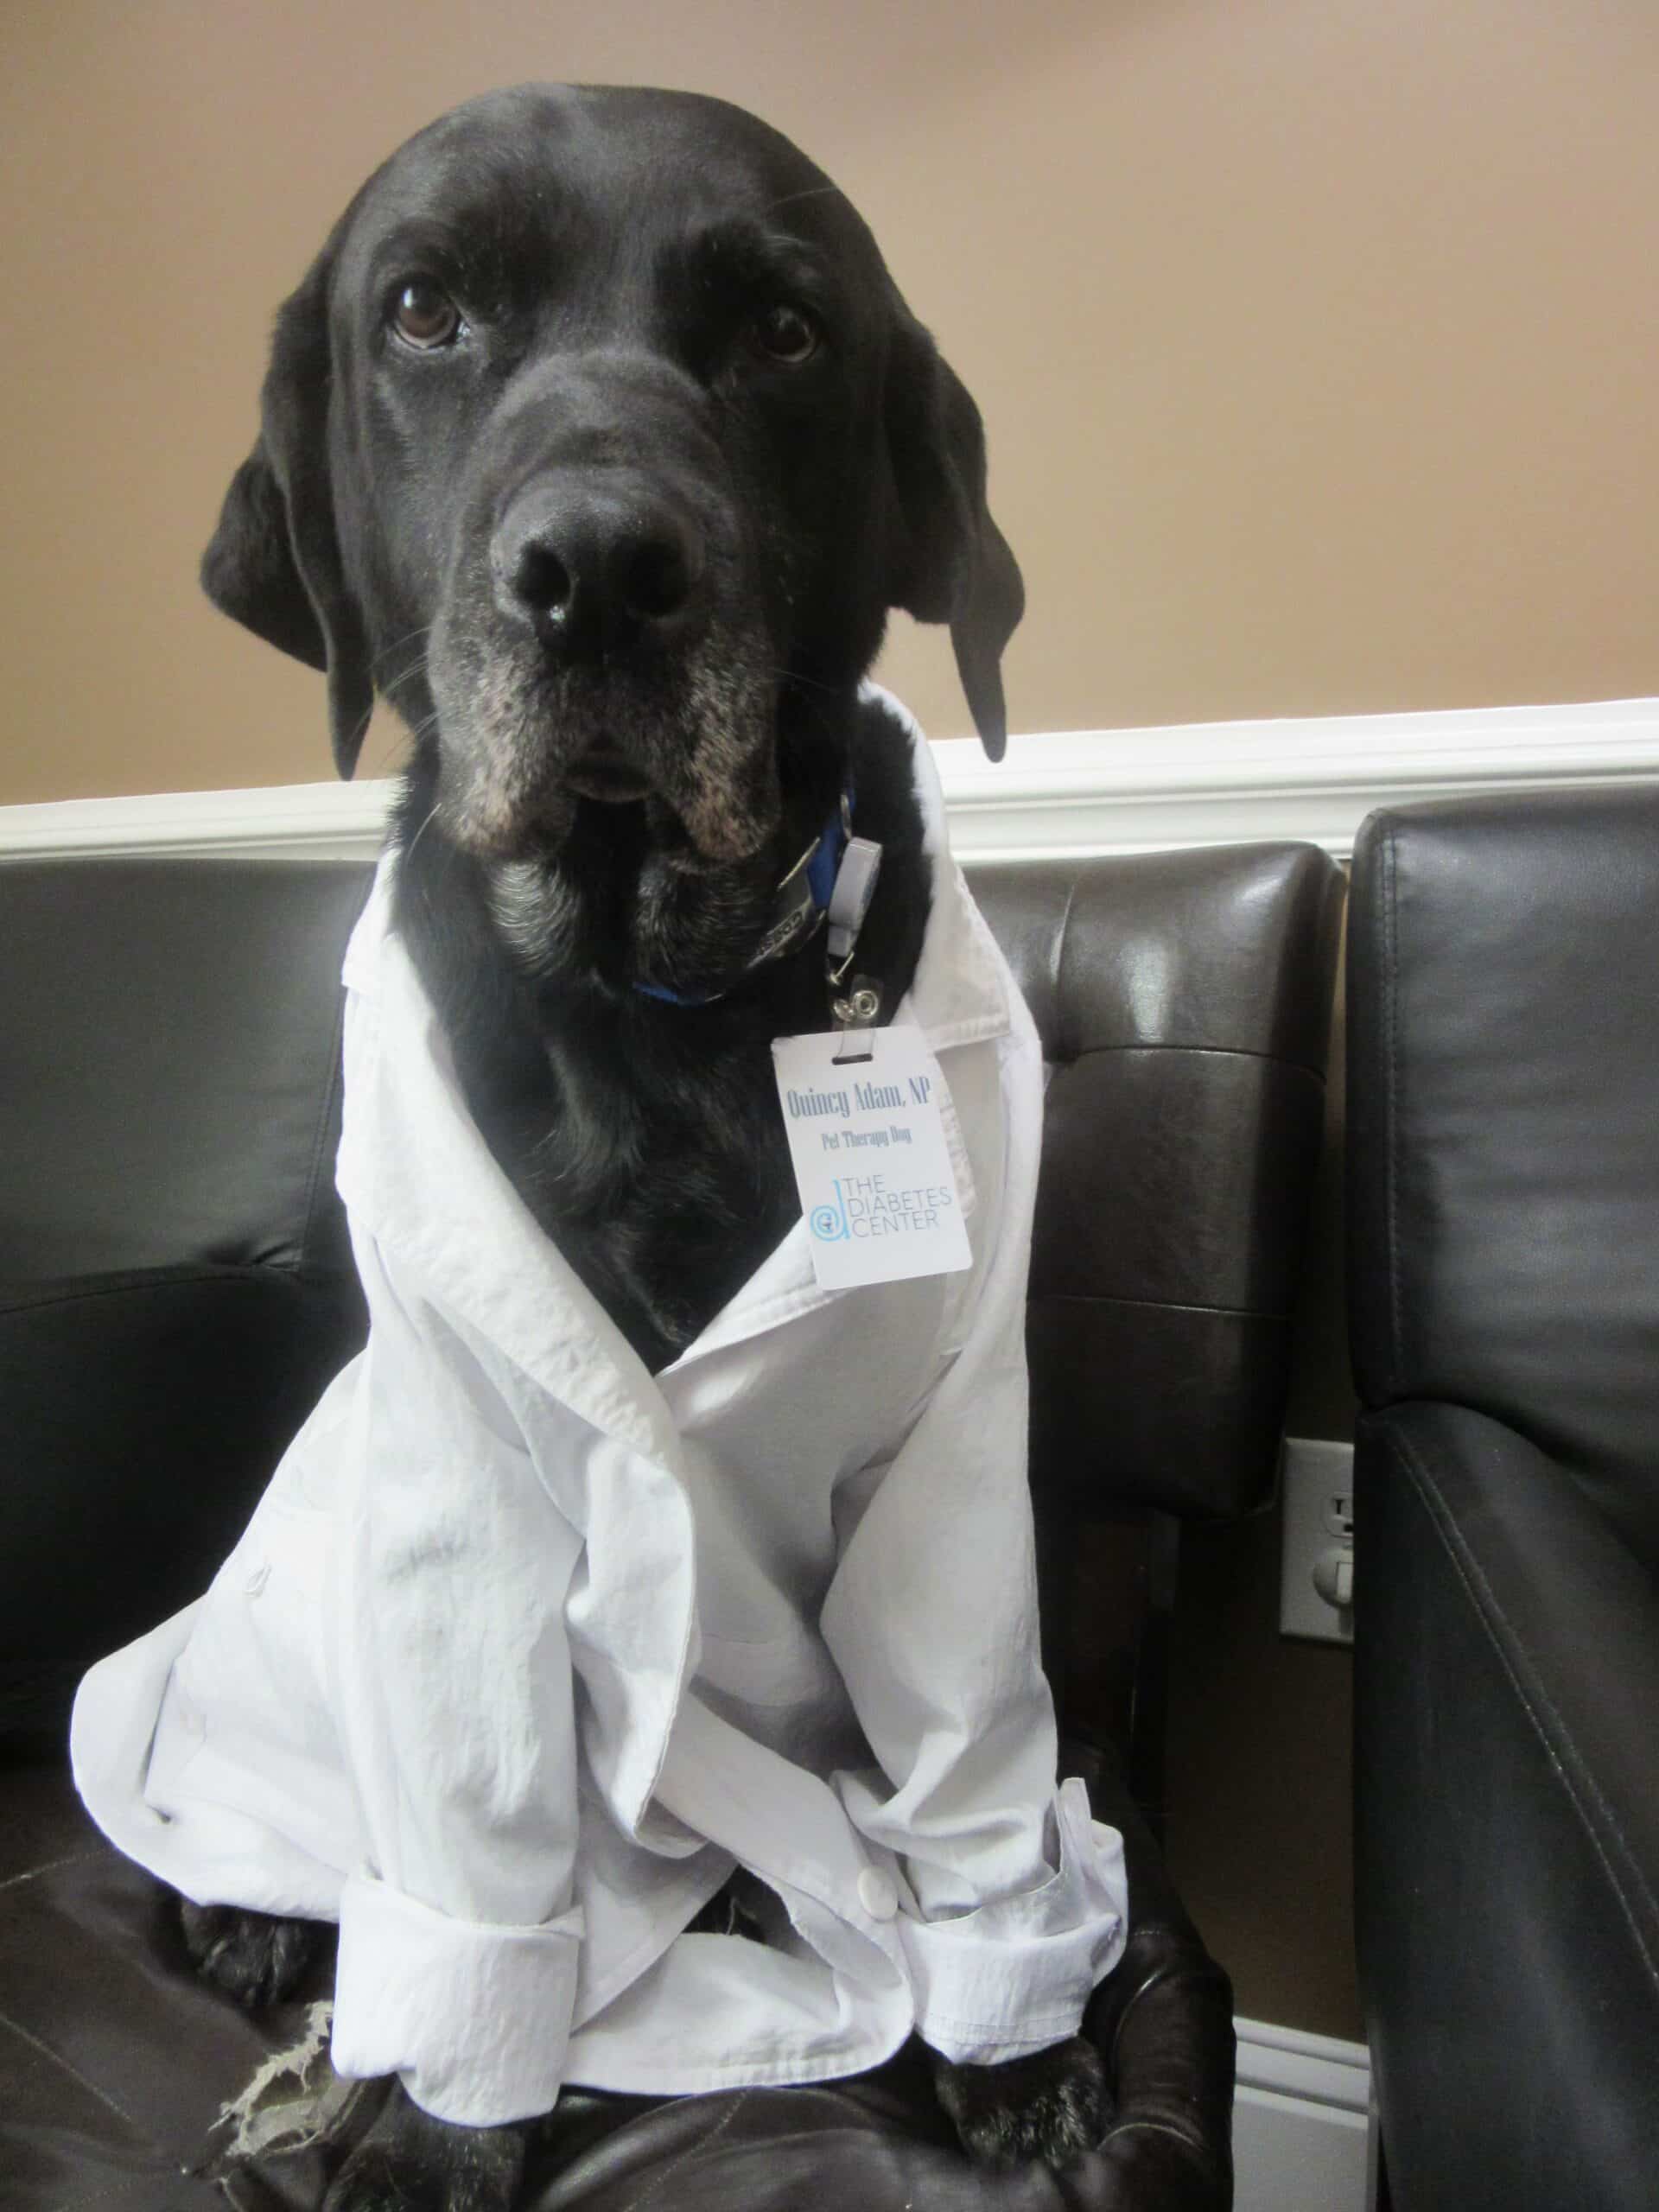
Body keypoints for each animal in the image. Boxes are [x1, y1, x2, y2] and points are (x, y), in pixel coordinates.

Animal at [188, 86, 1110, 2212]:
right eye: (424, 308)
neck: (658, 990)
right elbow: (482, 1849)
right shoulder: (463, 1477)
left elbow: (967, 1747)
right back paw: (256, 1909)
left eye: (782, 328)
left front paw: (1017, 2031)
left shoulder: (953, 1452)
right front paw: (442, 2124)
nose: (598, 570)